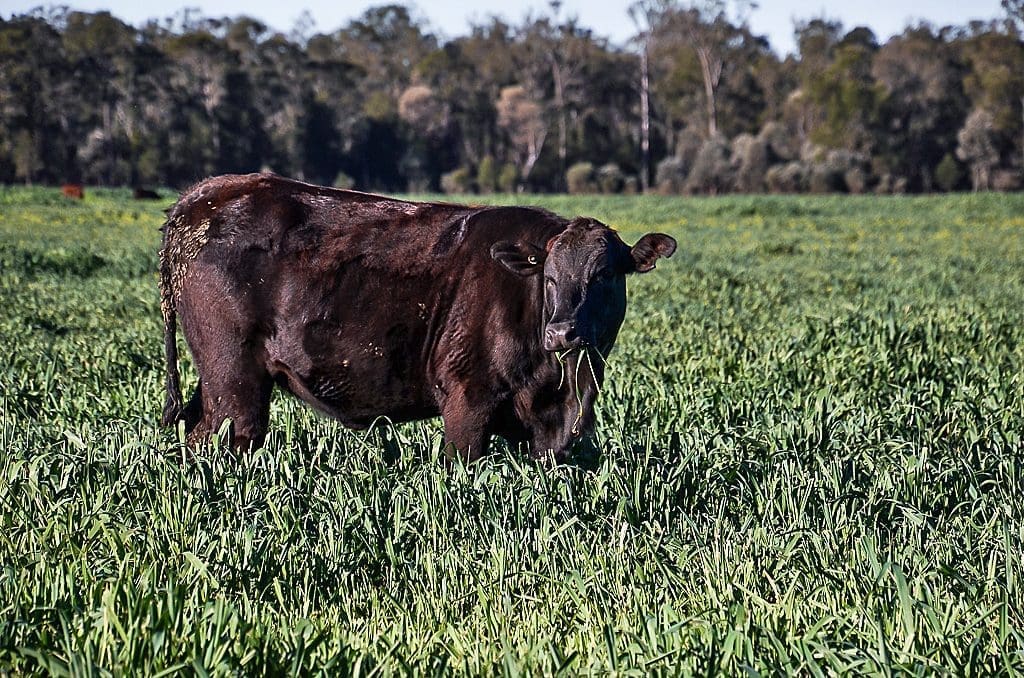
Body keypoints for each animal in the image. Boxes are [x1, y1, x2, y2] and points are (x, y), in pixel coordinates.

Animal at [159, 174, 675, 462]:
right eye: (549, 276)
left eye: (604, 274)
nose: (562, 331)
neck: (564, 387)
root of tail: (203, 196)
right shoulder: (468, 404)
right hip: (235, 387)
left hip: (217, 382)